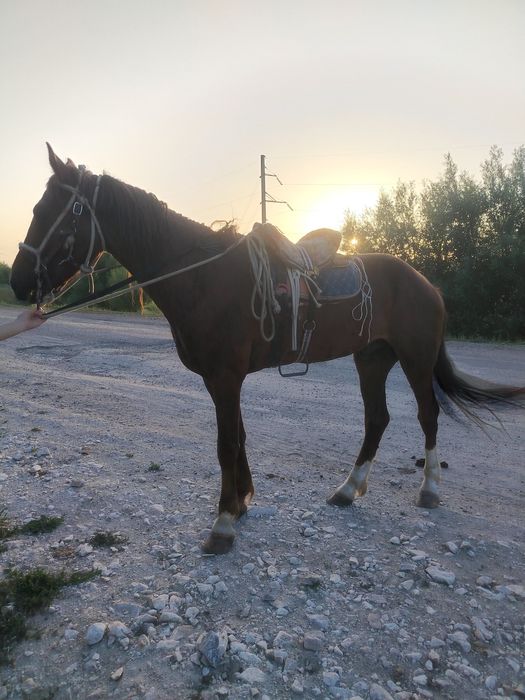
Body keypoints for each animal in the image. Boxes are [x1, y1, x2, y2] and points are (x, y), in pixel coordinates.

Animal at [10, 145, 525, 554]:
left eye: (52, 211)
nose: (17, 281)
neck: (202, 278)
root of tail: (426, 284)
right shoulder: (223, 380)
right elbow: (239, 437)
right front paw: (240, 505)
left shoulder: (225, 378)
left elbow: (226, 444)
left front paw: (223, 525)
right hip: (372, 359)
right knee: (377, 420)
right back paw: (348, 489)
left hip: (415, 360)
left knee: (427, 416)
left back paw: (429, 490)